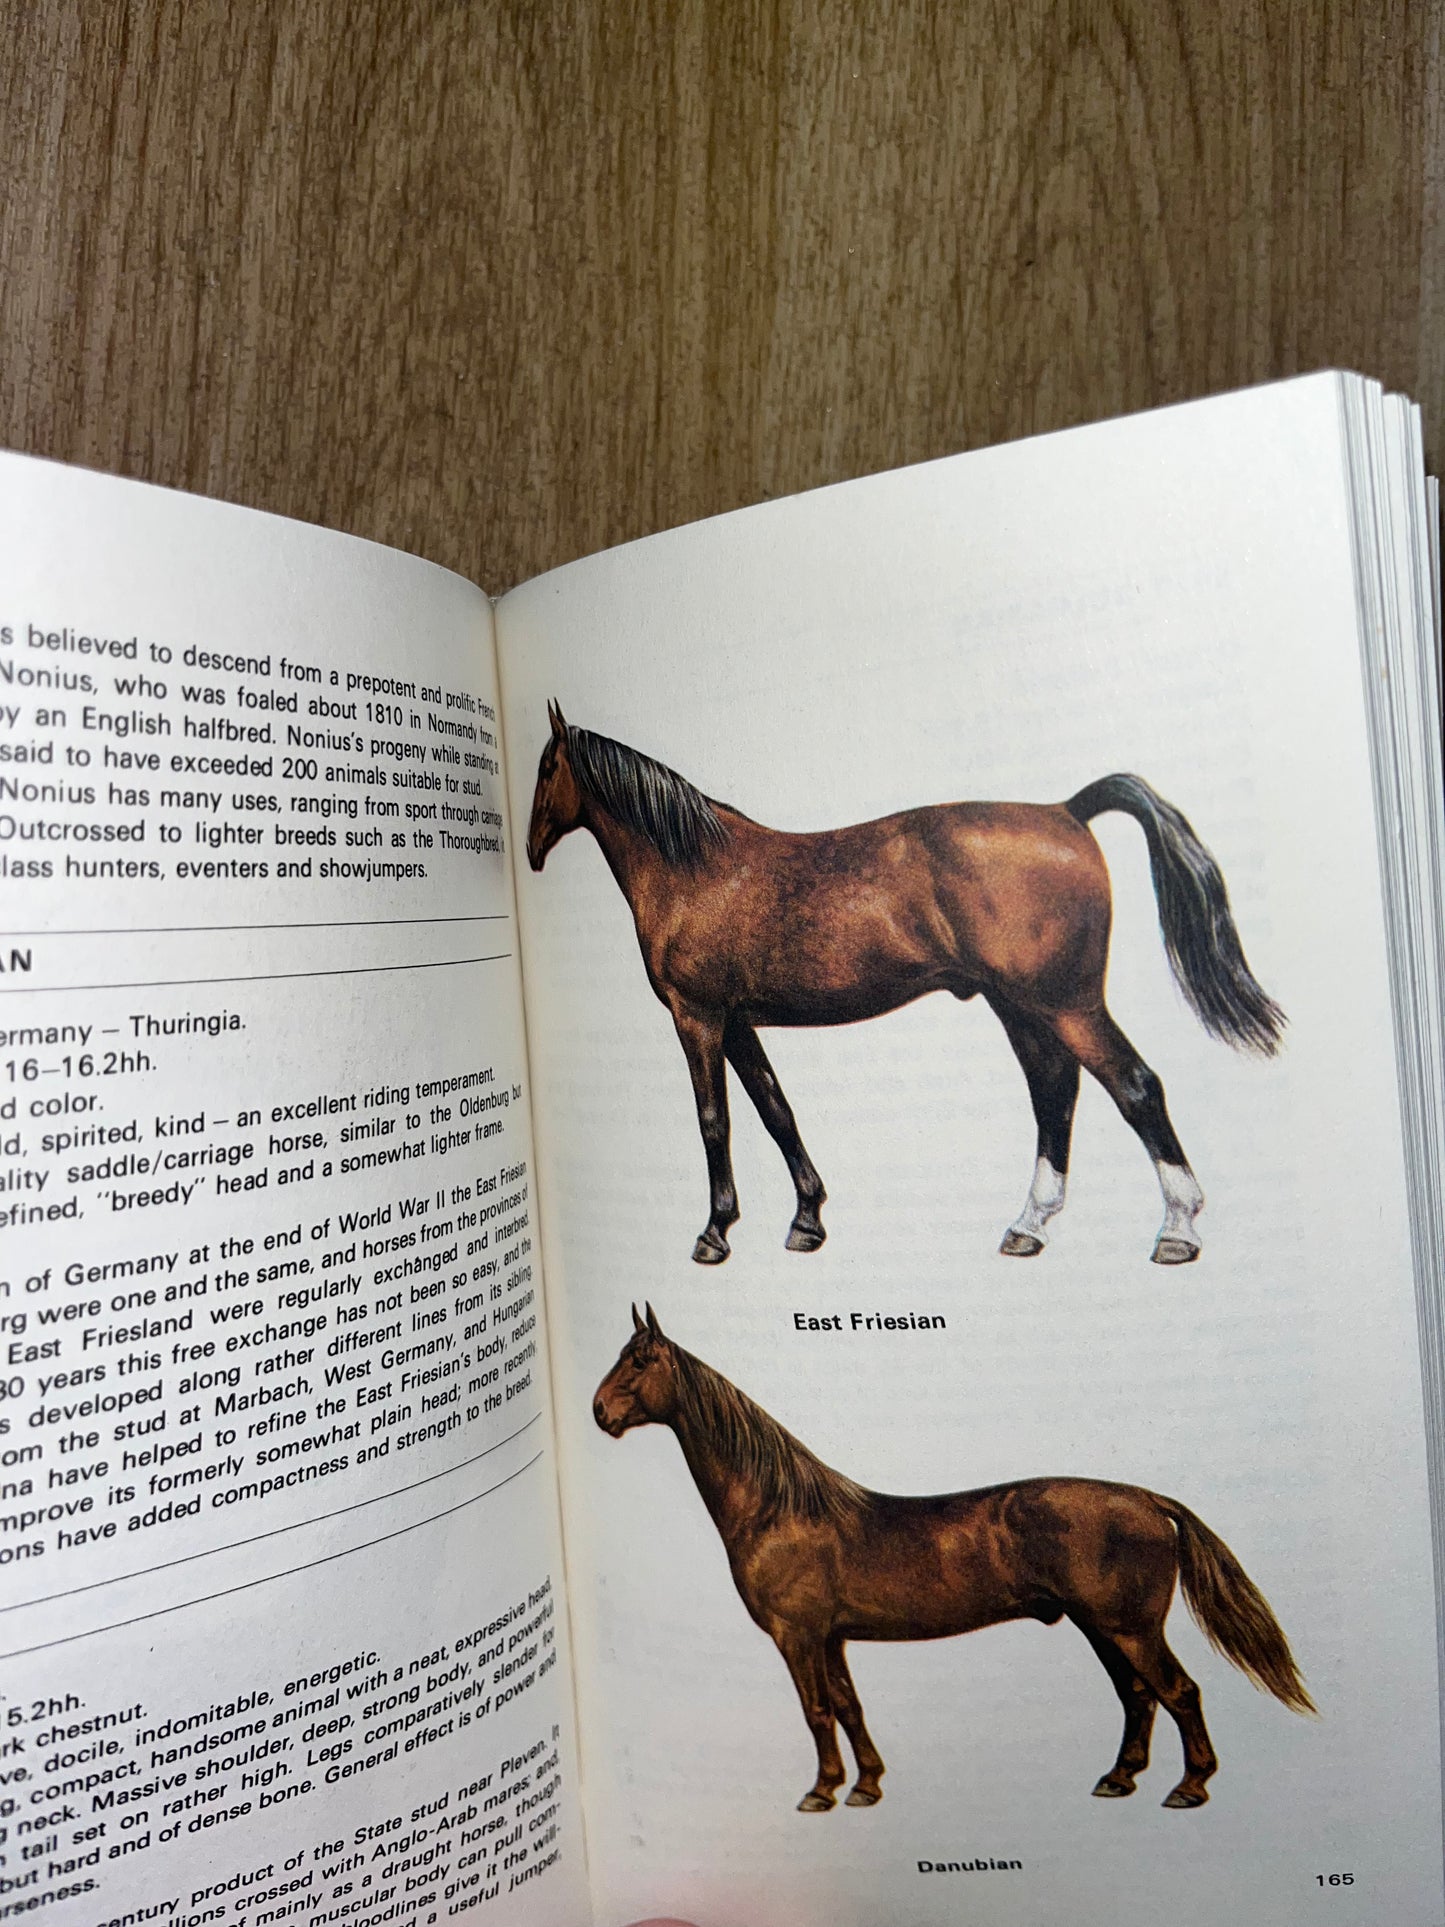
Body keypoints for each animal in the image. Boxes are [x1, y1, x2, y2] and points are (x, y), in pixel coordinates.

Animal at [527, 704, 1285, 1267]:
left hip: (1066, 1004)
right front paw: (806, 1220)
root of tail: (1065, 810)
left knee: (1134, 1086)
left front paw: (715, 1234)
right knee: (1055, 1092)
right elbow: (776, 1111)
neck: (695, 866)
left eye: (545, 767)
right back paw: (1029, 1225)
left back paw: (1177, 1229)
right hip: (1021, 1006)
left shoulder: (699, 1017)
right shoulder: (738, 1021)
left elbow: (715, 1120)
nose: (530, 851)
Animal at [594, 1306, 1315, 1813]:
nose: (598, 1411)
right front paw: (866, 1786)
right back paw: (1118, 1779)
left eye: (640, 1359)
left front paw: (821, 1791)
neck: (779, 1509)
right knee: (1137, 1696)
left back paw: (1189, 1787)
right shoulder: (831, 1637)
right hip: (1102, 1628)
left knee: (1178, 1692)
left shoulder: (796, 1635)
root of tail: (1145, 1498)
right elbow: (850, 1706)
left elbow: (817, 1711)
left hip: (1130, 1627)